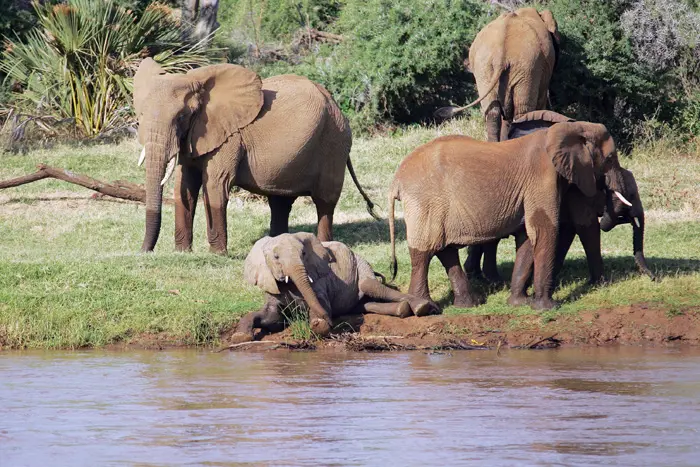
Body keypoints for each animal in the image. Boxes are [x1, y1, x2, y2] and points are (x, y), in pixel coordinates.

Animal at [133, 59, 378, 256]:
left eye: (182, 116)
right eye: (141, 115)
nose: (143, 252)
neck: (195, 79)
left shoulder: (230, 138)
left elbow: (215, 186)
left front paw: (217, 254)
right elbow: (184, 188)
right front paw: (182, 252)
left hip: (334, 142)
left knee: (325, 202)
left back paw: (325, 245)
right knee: (280, 202)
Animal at [230, 231, 438, 344]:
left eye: (303, 254)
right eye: (275, 257)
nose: (329, 320)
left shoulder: (319, 281)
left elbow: (322, 302)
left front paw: (318, 323)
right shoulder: (271, 284)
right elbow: (271, 318)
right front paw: (240, 337)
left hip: (361, 264)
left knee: (372, 286)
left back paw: (422, 307)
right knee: (365, 304)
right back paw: (403, 309)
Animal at [388, 121, 628, 310]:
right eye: (610, 158)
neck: (569, 128)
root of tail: (396, 179)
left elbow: (527, 236)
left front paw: (519, 304)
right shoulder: (542, 177)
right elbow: (544, 228)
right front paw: (547, 308)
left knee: (445, 249)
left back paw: (469, 304)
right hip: (425, 201)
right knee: (424, 251)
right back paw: (424, 307)